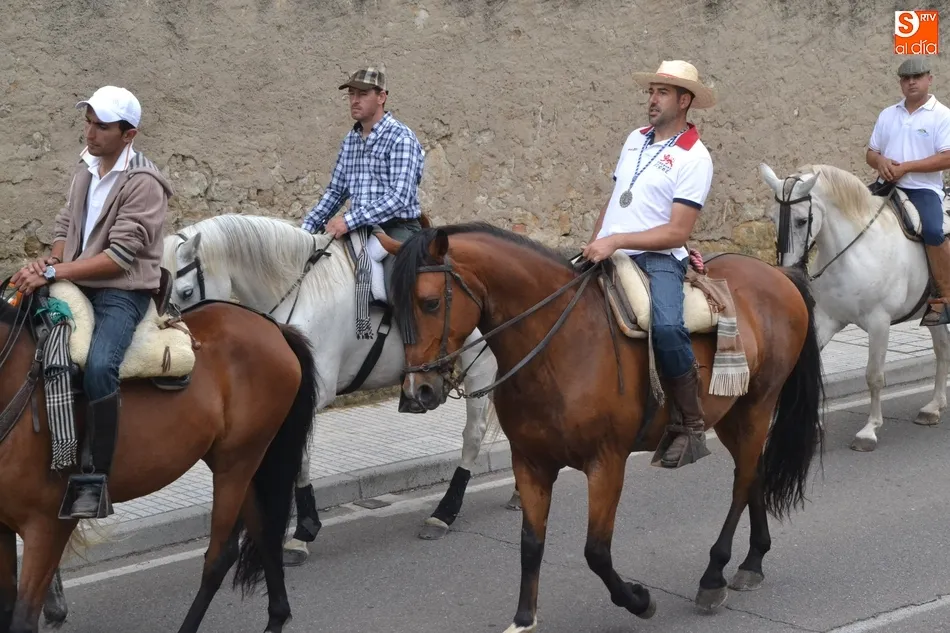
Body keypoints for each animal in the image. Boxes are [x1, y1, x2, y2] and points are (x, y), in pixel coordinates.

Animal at [0, 282, 317, 633]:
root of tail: (273, 326)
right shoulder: (3, 529)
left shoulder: (47, 528)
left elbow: (22, 617)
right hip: (241, 462)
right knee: (264, 532)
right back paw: (276, 617)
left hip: (239, 462)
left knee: (221, 556)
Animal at [160, 213, 512, 558]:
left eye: (186, 292)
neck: (301, 292)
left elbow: (299, 460)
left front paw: (303, 531)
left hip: (480, 367)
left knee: (473, 435)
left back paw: (444, 514)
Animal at [378, 221, 825, 632]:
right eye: (395, 309)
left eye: (430, 303)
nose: (417, 391)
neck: (558, 345)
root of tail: (775, 274)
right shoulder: (531, 463)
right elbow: (530, 543)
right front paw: (524, 618)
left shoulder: (606, 463)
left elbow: (596, 551)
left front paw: (640, 601)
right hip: (732, 414)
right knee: (754, 473)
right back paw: (753, 561)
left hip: (757, 406)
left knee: (743, 480)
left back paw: (714, 576)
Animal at [759, 162, 950, 451]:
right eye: (772, 218)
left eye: (802, 220)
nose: (787, 273)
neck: (853, 252)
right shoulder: (826, 319)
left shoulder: (879, 322)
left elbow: (874, 376)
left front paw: (869, 431)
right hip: (933, 315)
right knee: (942, 348)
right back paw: (933, 407)